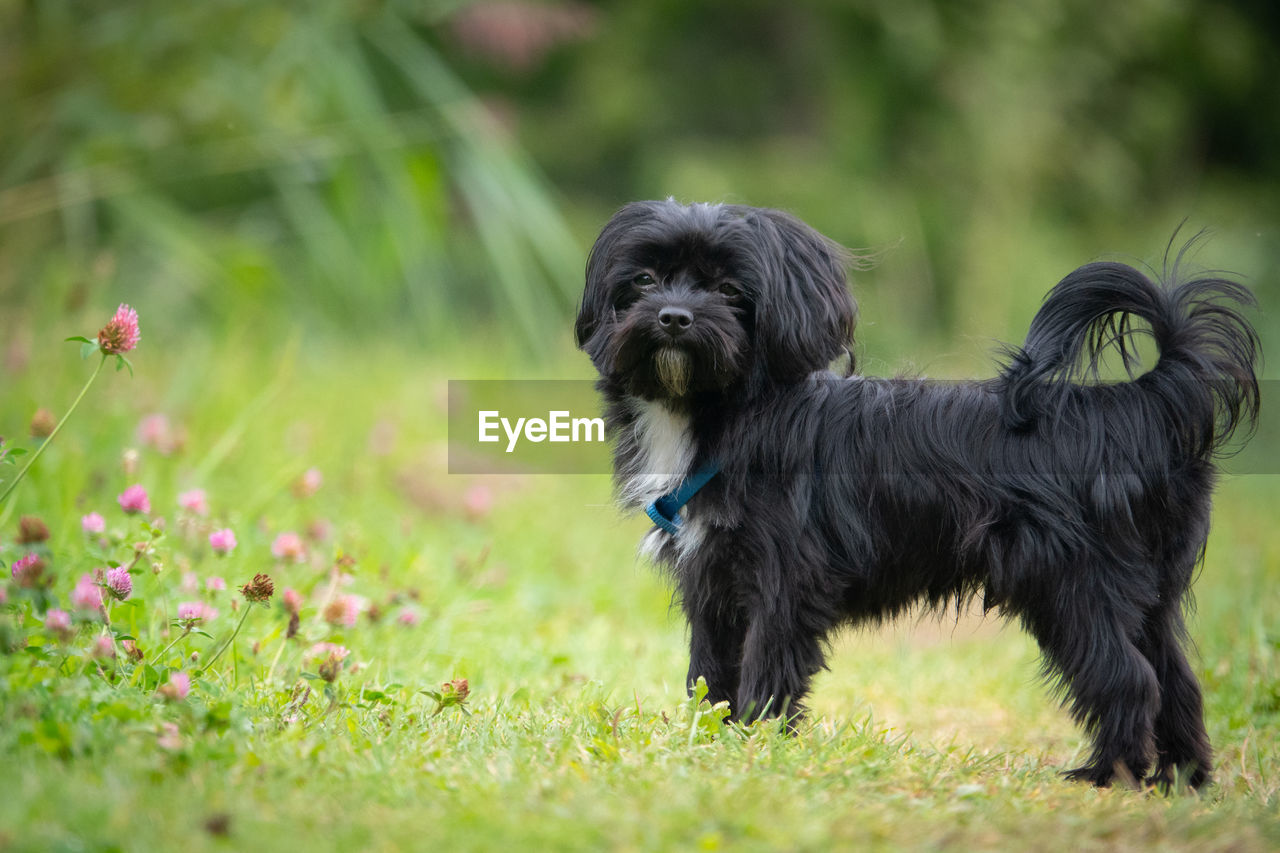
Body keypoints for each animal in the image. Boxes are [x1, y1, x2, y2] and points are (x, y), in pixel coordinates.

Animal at [578, 197, 1259, 783]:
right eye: (643, 281)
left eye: (728, 290)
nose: (673, 317)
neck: (724, 414)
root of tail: (1139, 403)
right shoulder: (713, 581)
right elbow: (709, 672)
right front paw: (712, 743)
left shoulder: (786, 581)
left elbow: (767, 668)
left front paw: (758, 744)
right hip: (1146, 595)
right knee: (1176, 683)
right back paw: (1183, 781)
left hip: (1075, 585)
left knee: (1128, 680)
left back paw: (1107, 777)